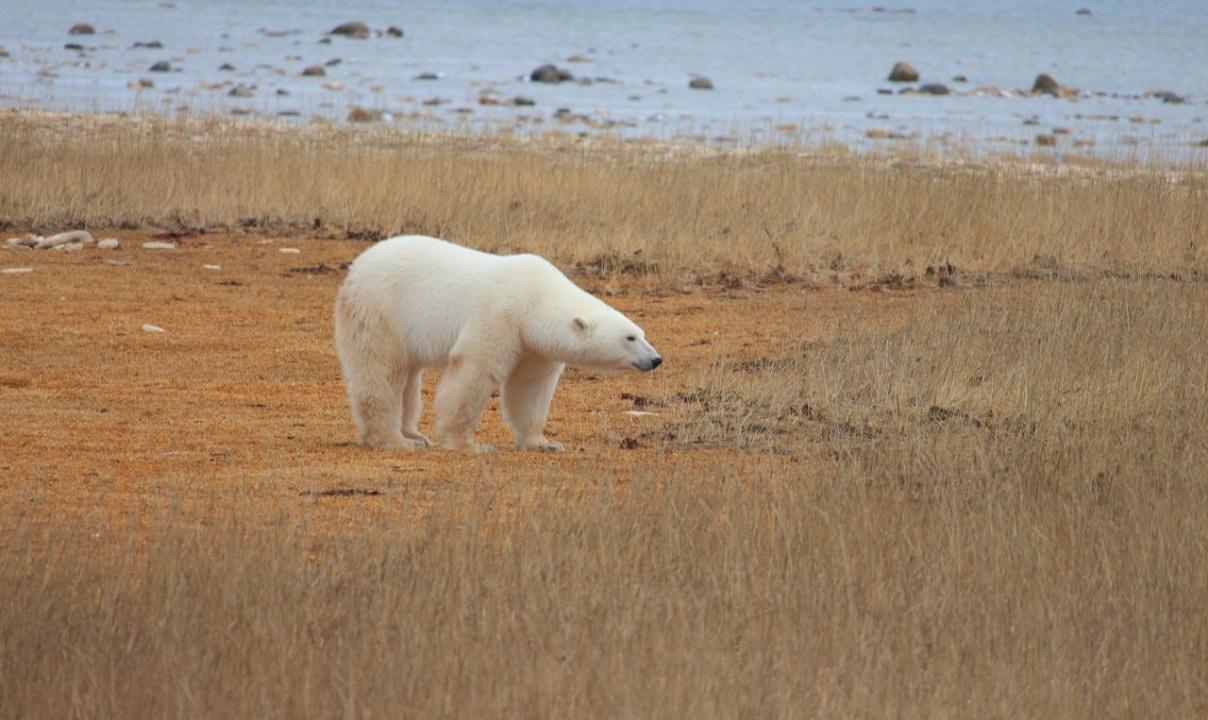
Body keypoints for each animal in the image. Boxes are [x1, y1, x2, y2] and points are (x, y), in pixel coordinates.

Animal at [333, 236, 661, 449]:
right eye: (630, 337)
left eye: (643, 333)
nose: (656, 359)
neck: (534, 297)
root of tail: (356, 267)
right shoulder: (499, 313)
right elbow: (474, 370)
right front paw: (466, 443)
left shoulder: (533, 344)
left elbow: (530, 387)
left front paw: (543, 442)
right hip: (381, 310)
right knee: (382, 372)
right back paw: (394, 440)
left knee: (409, 376)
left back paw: (414, 434)